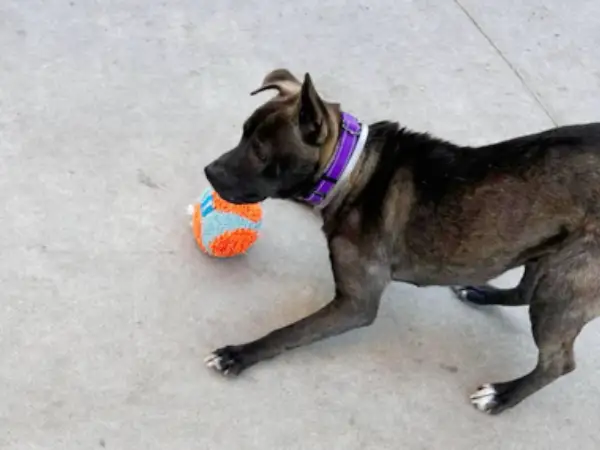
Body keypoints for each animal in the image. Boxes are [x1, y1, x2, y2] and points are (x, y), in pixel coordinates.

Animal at [203, 68, 600, 416]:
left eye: (260, 152)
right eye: (242, 134)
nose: (208, 171)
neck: (352, 167)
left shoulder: (356, 304)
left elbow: (288, 332)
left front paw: (239, 354)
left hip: (566, 285)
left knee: (558, 362)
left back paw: (502, 395)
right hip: (550, 256)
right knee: (524, 292)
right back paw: (479, 293)